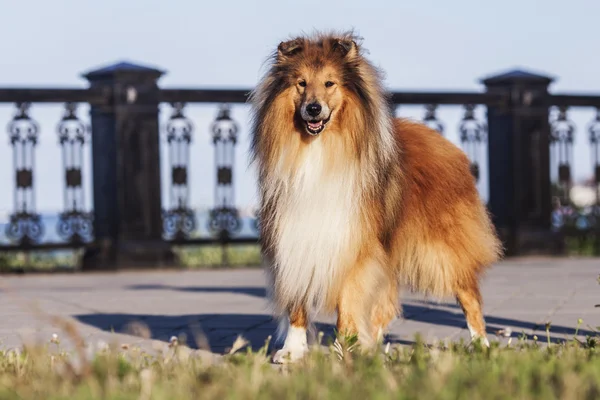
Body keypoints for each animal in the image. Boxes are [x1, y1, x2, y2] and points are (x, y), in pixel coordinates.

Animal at [248, 31, 502, 362]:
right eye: (301, 83)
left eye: (329, 83)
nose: (313, 109)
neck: (319, 151)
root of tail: (448, 146)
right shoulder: (293, 239)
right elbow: (297, 304)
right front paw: (292, 351)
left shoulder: (353, 243)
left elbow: (348, 303)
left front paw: (344, 350)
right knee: (386, 305)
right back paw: (371, 345)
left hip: (440, 251)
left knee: (469, 293)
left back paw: (481, 344)